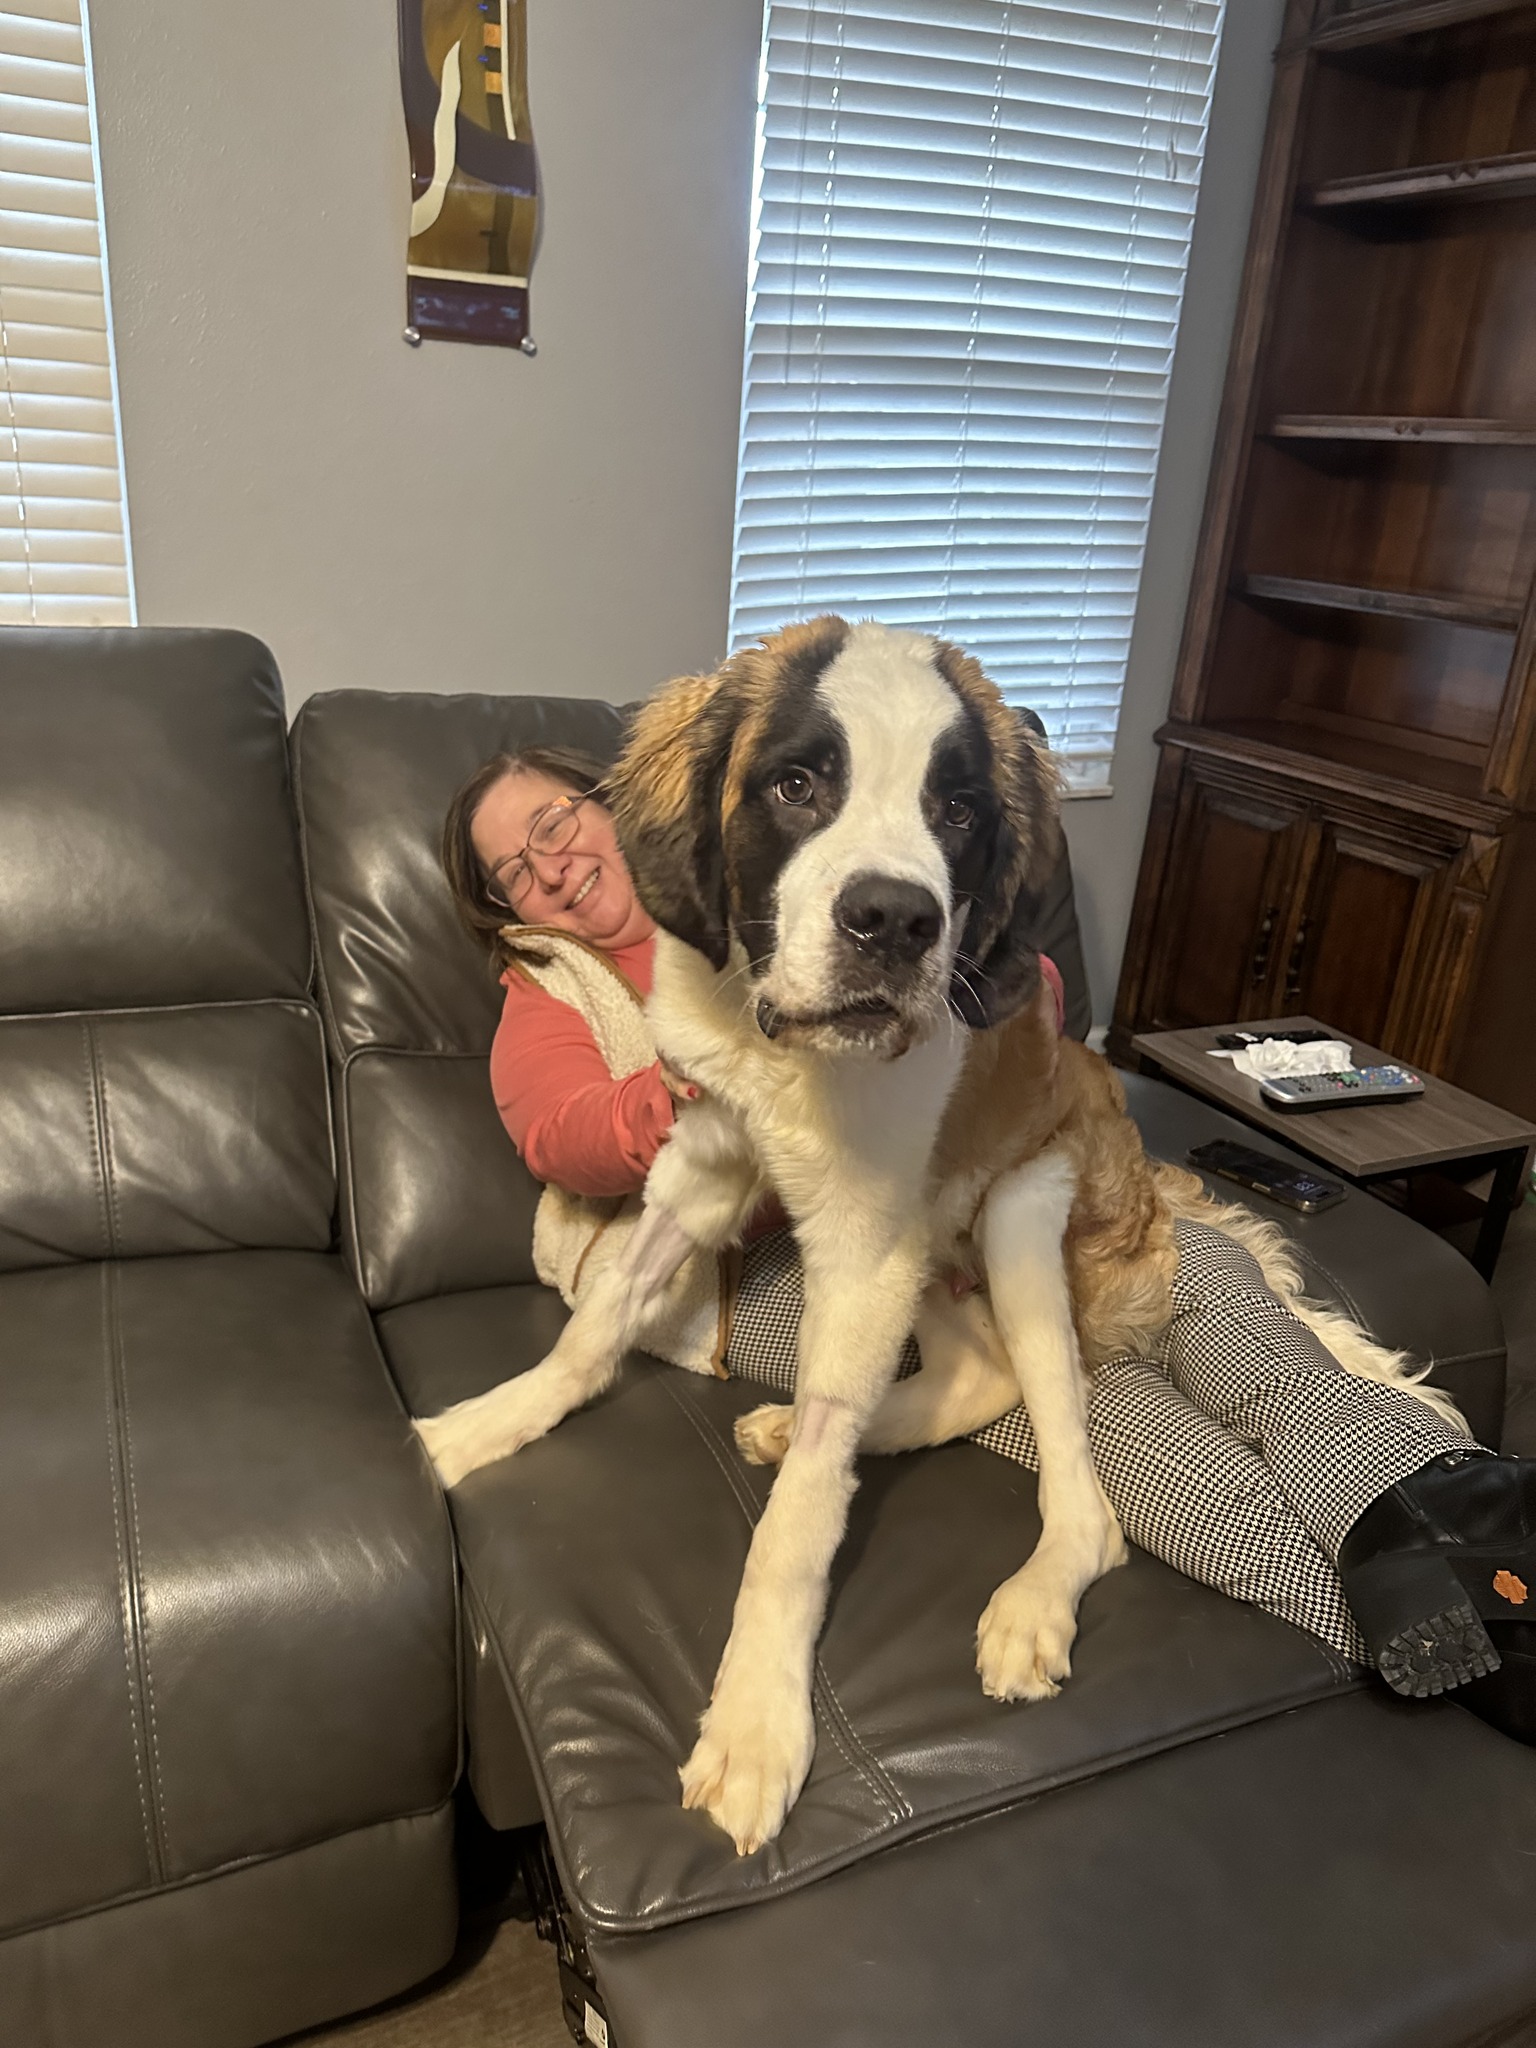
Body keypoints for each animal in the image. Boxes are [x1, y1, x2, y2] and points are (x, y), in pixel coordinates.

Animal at [415, 606, 1458, 1859]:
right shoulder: (705, 1168)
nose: (896, 920)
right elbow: (597, 1324)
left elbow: (796, 1526)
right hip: (945, 1260)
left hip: (1020, 1211)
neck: (785, 1053)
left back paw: (1025, 1588)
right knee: (973, 1379)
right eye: (799, 783)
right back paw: (816, 1424)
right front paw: (482, 1425)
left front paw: (756, 1721)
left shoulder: (864, 1249)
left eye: (958, 811)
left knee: (1078, 1483)